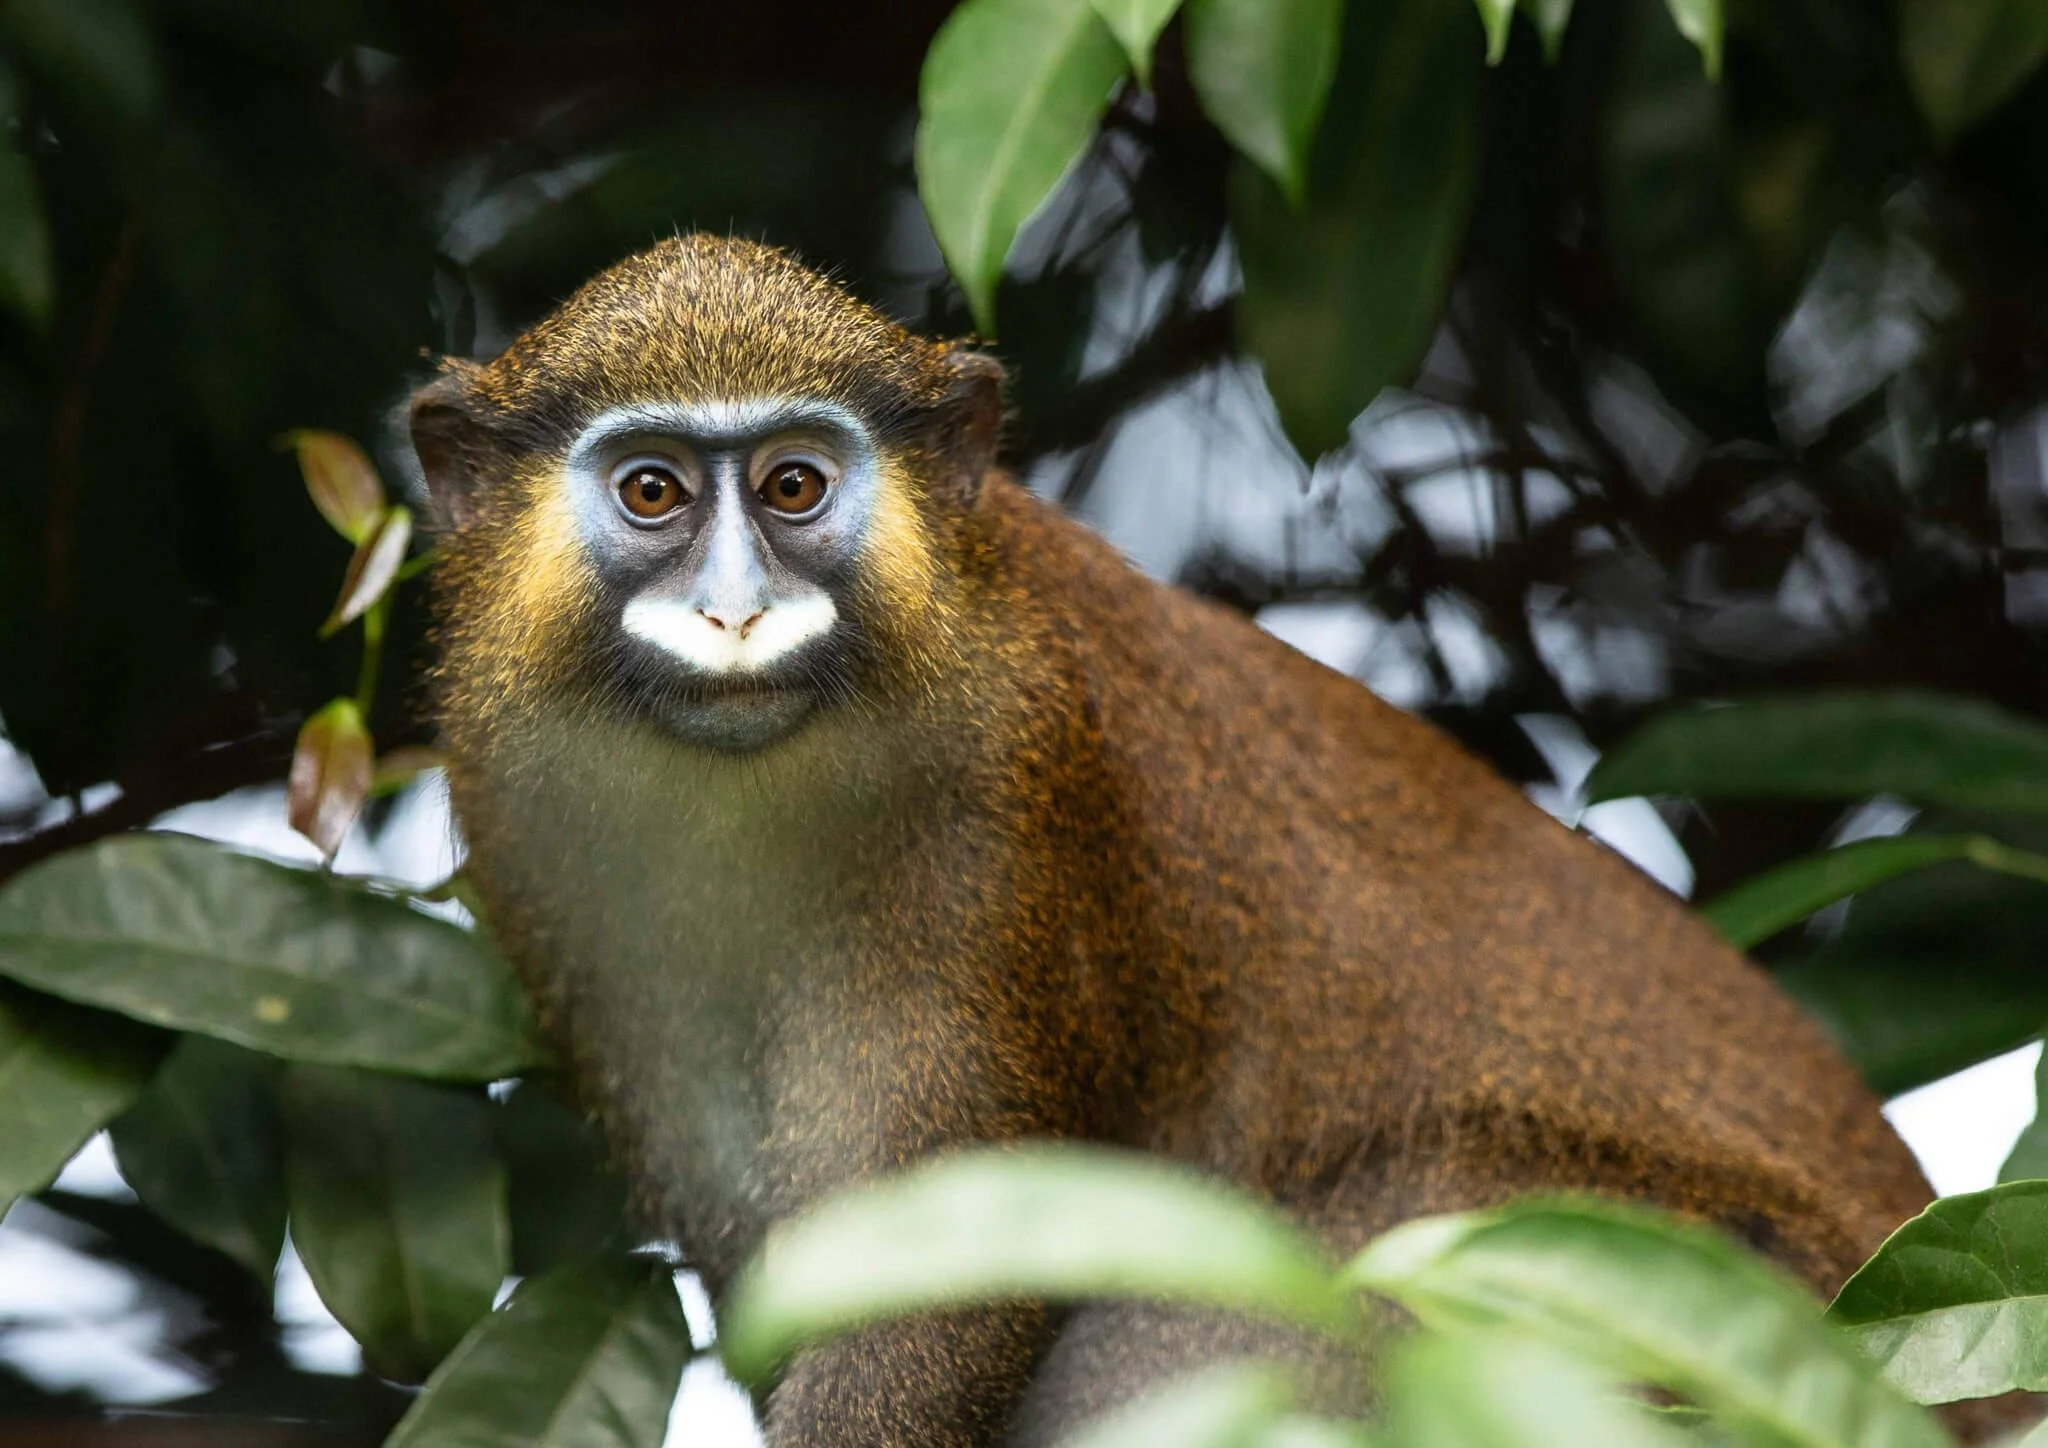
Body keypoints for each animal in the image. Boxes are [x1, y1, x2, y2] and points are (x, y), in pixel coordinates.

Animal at [409, 235, 1975, 1445]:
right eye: (653, 491)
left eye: (794, 486)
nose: (733, 612)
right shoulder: (525, 827)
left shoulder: (1008, 798)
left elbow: (936, 1272)